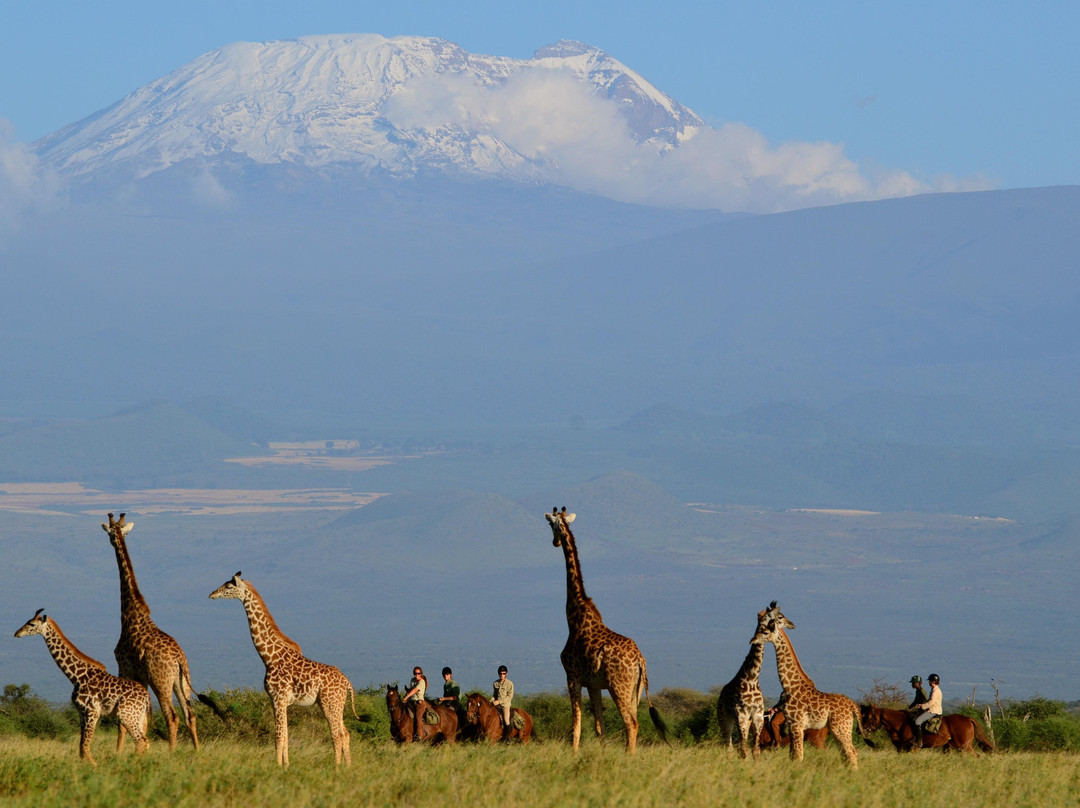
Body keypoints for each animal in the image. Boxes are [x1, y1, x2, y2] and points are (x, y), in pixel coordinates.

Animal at [859, 704, 994, 754]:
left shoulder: (913, 748)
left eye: (869, 716)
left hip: (964, 746)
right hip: (953, 746)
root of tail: (968, 719)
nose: (860, 729)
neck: (901, 723)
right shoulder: (901, 748)